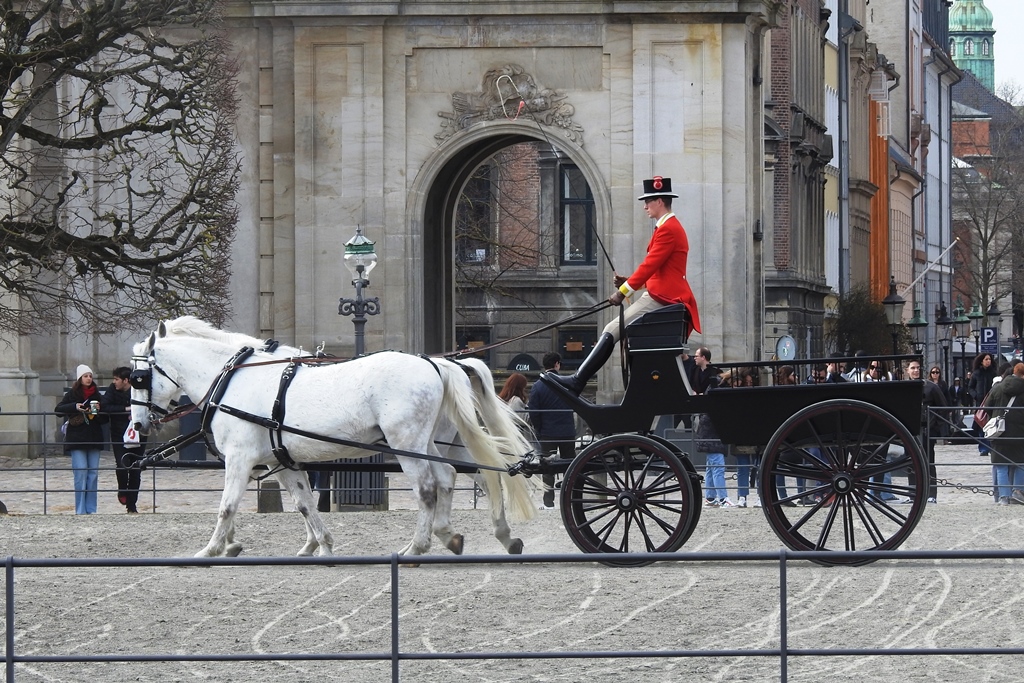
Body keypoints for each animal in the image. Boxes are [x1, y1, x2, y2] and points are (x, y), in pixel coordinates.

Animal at [130, 316, 538, 558]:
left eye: (138, 377)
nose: (137, 426)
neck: (233, 378)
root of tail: (436, 362)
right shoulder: (282, 462)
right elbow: (305, 504)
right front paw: (320, 545)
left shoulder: (240, 459)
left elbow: (227, 506)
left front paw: (212, 549)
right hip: (432, 444)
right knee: (466, 476)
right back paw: (472, 535)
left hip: (407, 444)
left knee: (429, 488)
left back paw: (418, 546)